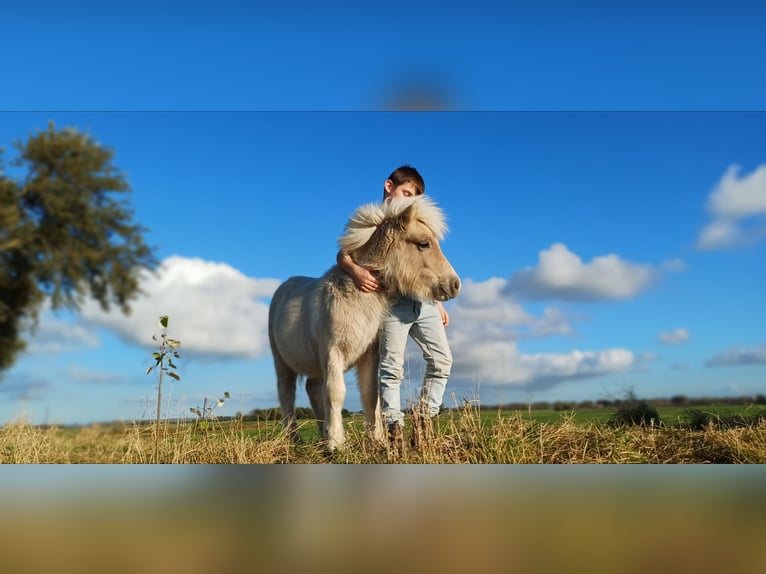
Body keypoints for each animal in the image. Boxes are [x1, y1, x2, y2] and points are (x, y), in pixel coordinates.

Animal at [268, 196, 462, 452]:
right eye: (423, 244)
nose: (454, 285)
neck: (357, 299)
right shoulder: (333, 353)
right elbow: (336, 393)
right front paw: (336, 443)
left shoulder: (369, 356)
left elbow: (371, 396)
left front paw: (376, 439)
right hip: (283, 363)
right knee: (286, 393)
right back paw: (295, 439)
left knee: (313, 389)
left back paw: (322, 435)